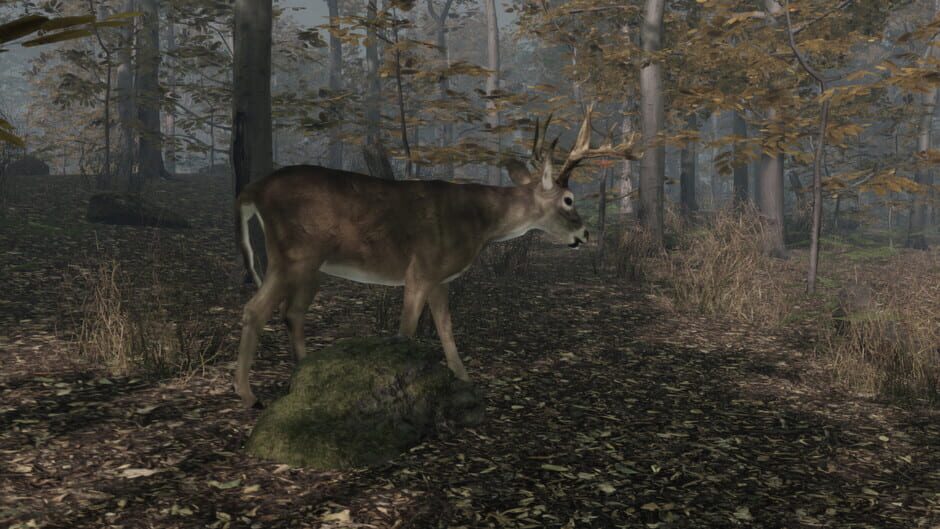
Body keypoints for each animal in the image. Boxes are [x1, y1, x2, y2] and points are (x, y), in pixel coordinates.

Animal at [233, 106, 637, 408]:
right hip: (293, 253)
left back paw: (302, 374)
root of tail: (252, 190)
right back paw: (249, 395)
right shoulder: (421, 269)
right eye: (568, 200)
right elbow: (406, 333)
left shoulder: (439, 277)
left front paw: (465, 379)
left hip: (308, 264)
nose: (585, 234)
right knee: (255, 309)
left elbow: (446, 328)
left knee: (291, 313)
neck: (479, 222)